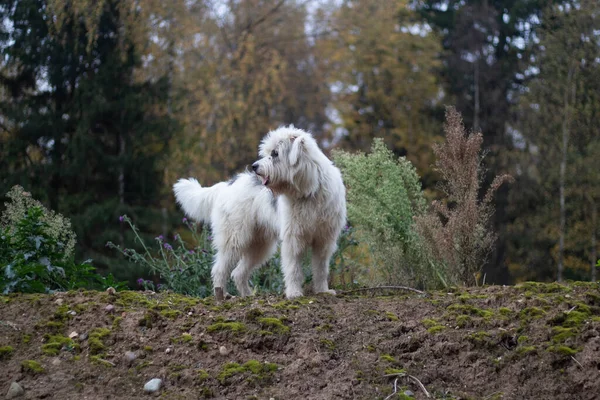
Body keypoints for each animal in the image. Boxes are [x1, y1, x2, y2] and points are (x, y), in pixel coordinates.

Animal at [172, 126, 346, 298]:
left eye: (275, 153)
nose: (254, 166)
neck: (309, 190)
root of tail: (227, 184)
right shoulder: (293, 238)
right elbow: (293, 268)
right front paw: (294, 293)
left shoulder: (325, 239)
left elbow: (321, 268)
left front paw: (323, 290)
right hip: (234, 238)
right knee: (219, 269)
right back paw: (222, 295)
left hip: (259, 244)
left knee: (238, 273)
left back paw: (247, 295)